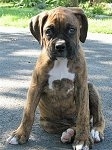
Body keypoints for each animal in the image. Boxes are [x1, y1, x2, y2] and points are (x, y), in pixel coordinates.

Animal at [7, 6, 105, 149]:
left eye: (71, 30)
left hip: (90, 87)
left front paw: (82, 140)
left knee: (96, 118)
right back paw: (69, 133)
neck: (61, 61)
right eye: (48, 31)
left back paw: (95, 131)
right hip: (48, 124)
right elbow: (28, 113)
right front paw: (19, 135)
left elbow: (83, 115)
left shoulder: (81, 87)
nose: (60, 46)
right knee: (70, 126)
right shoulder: (36, 86)